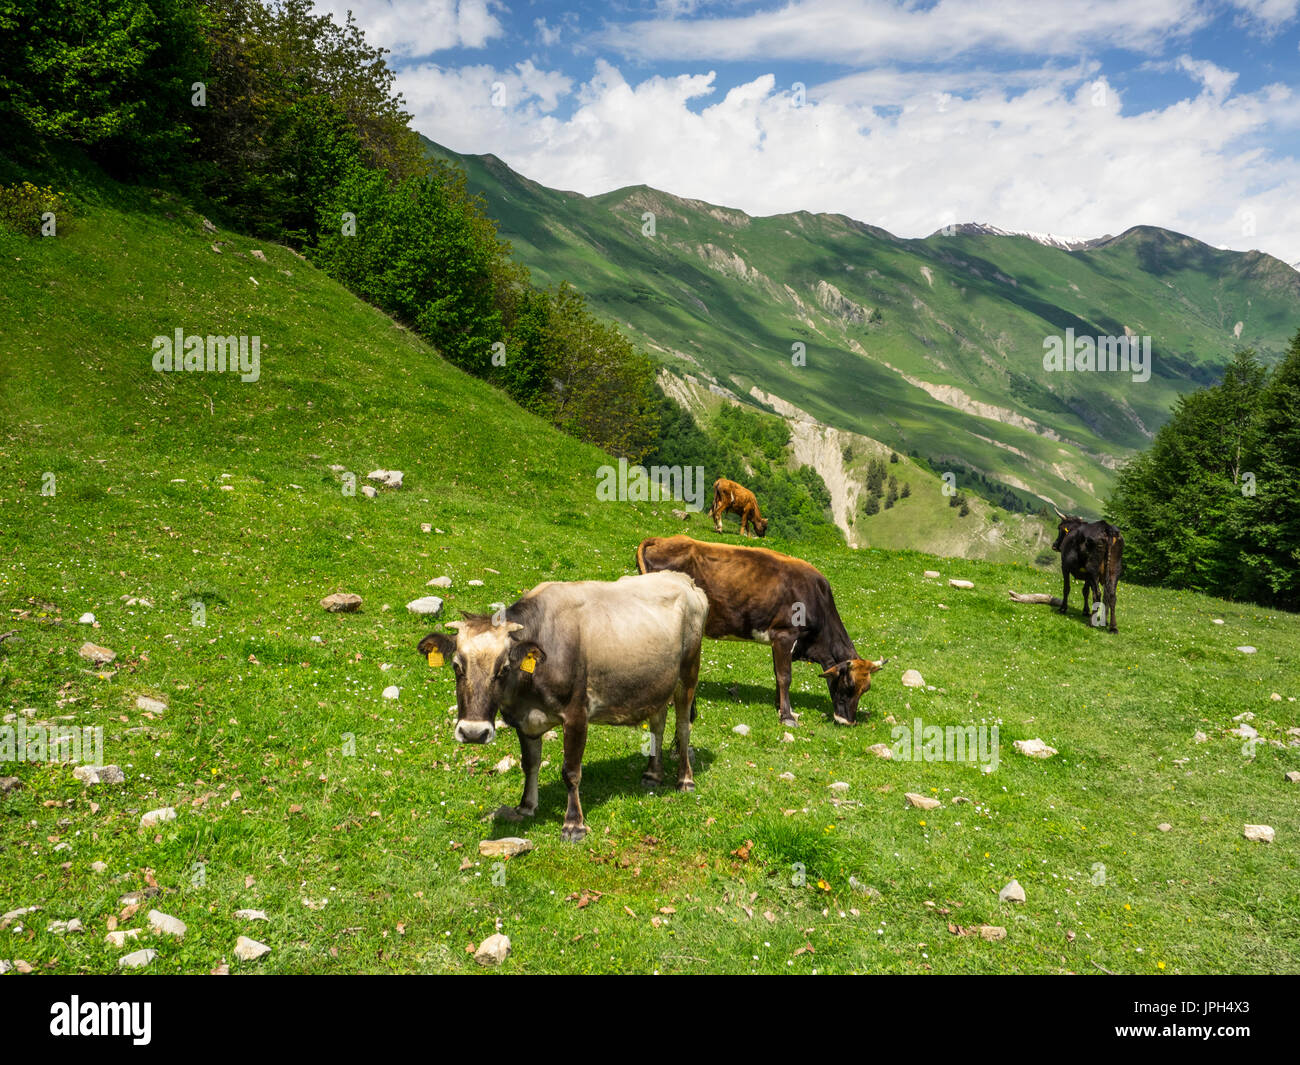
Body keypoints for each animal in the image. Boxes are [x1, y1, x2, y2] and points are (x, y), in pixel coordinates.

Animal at [417, 572, 708, 842]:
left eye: (504, 668)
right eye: (457, 666)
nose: (473, 733)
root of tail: (685, 580)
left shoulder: (577, 714)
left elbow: (571, 772)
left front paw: (574, 824)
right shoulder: (525, 720)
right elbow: (530, 763)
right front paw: (526, 805)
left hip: (688, 675)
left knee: (683, 728)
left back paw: (685, 780)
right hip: (657, 684)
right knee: (657, 724)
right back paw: (653, 774)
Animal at [637, 535, 886, 727]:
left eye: (866, 689)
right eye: (849, 685)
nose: (847, 721)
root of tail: (663, 540)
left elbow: (778, 674)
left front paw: (782, 708)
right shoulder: (784, 635)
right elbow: (785, 677)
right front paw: (786, 716)